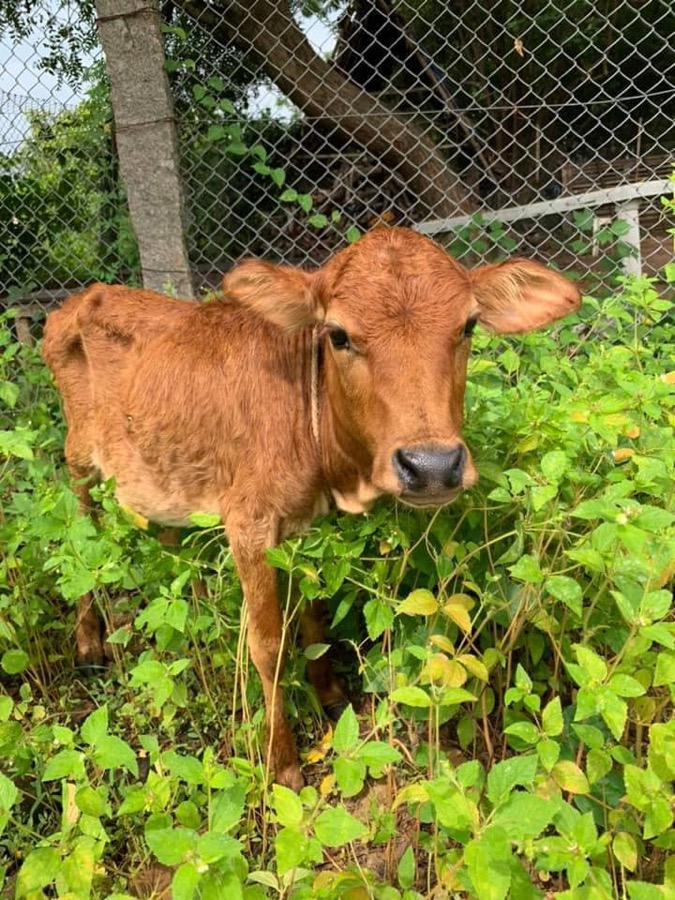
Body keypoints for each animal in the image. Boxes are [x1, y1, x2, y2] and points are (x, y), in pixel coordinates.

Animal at [42, 226, 580, 789]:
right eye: (338, 335)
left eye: (469, 325)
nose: (432, 465)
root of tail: (78, 299)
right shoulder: (248, 524)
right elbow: (267, 644)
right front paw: (282, 762)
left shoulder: (304, 525)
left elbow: (315, 618)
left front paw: (330, 696)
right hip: (78, 458)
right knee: (80, 535)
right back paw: (89, 645)